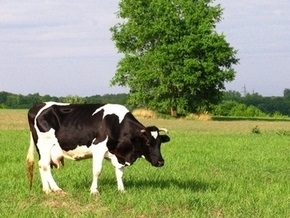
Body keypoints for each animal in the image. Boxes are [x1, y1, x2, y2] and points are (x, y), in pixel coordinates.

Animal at [26, 102, 170, 194]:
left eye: (159, 143)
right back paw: (56, 189)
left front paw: (121, 190)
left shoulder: (118, 155)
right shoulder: (99, 148)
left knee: (41, 165)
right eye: (148, 143)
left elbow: (120, 173)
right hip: (45, 144)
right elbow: (97, 171)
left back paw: (46, 189)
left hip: (44, 149)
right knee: (45, 165)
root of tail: (38, 106)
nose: (160, 162)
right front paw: (94, 190)